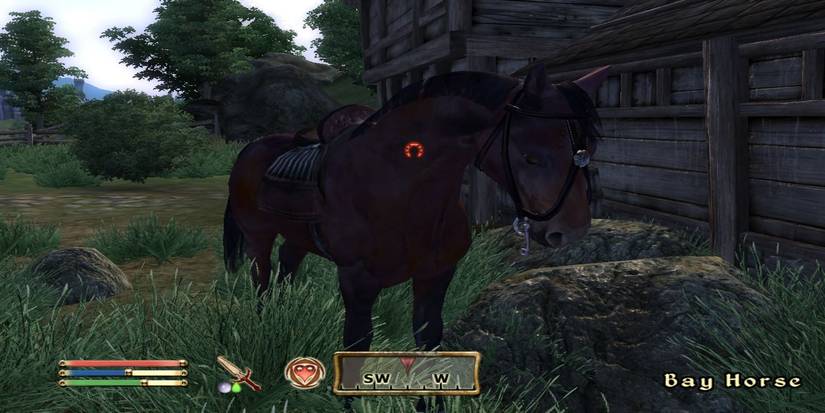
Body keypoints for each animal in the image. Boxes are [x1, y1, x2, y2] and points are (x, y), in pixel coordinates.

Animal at [223, 63, 608, 411]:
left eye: (589, 151)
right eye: (530, 157)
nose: (570, 231)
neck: (399, 187)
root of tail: (253, 148)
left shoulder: (435, 275)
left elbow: (429, 344)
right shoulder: (357, 281)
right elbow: (356, 346)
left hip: (297, 238)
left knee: (286, 268)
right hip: (258, 237)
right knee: (261, 280)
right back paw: (265, 327)